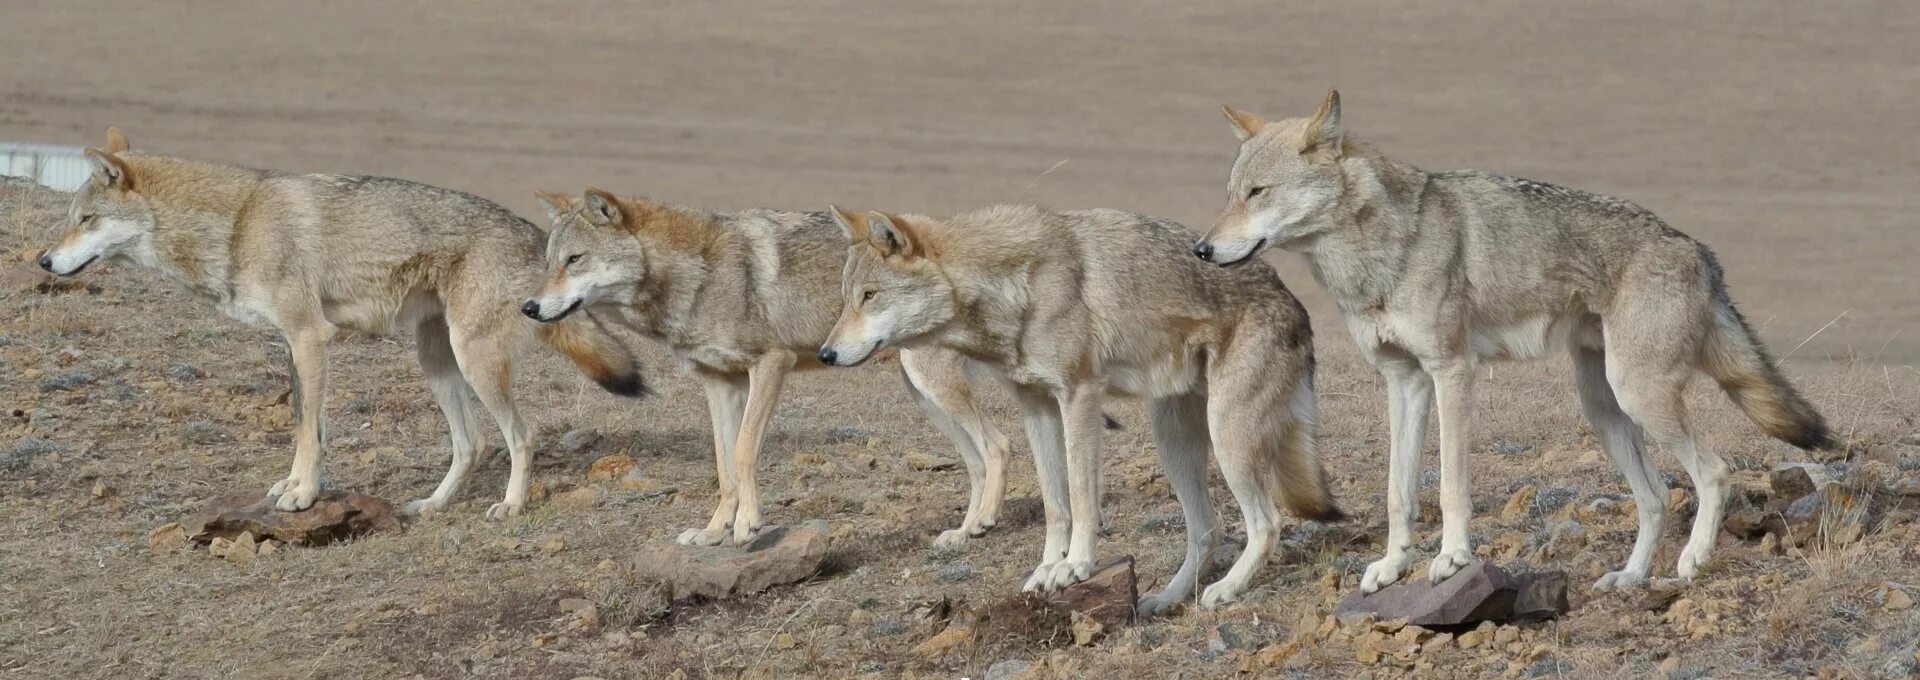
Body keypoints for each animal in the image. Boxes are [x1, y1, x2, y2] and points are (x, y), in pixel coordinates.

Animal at [33, 128, 648, 514]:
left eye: (85, 220)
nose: (42, 261)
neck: (238, 222)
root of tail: (541, 243)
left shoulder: (310, 337)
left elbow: (309, 431)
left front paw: (301, 496)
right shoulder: (292, 344)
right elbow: (306, 425)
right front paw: (294, 485)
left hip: (473, 361)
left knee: (522, 435)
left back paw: (511, 506)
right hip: (436, 362)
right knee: (471, 444)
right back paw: (432, 505)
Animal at [518, 188, 1013, 549]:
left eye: (575, 260)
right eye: (549, 262)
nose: (528, 308)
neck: (699, 277)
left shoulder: (771, 364)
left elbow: (742, 453)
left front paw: (747, 526)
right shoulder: (720, 385)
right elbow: (723, 467)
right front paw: (714, 531)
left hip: (932, 384)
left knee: (999, 445)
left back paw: (986, 520)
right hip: (923, 394)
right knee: (975, 460)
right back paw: (964, 532)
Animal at [1190, 93, 1835, 591]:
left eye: (1257, 192)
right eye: (1229, 193)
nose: (1202, 249)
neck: (1380, 252)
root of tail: (1700, 250)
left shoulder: (1452, 372)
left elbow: (1451, 484)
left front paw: (1452, 558)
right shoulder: (1403, 381)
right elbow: (1399, 491)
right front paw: (1392, 566)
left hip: (1639, 396)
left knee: (1714, 473)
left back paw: (1692, 560)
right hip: (1604, 409)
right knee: (1654, 498)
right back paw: (1630, 578)